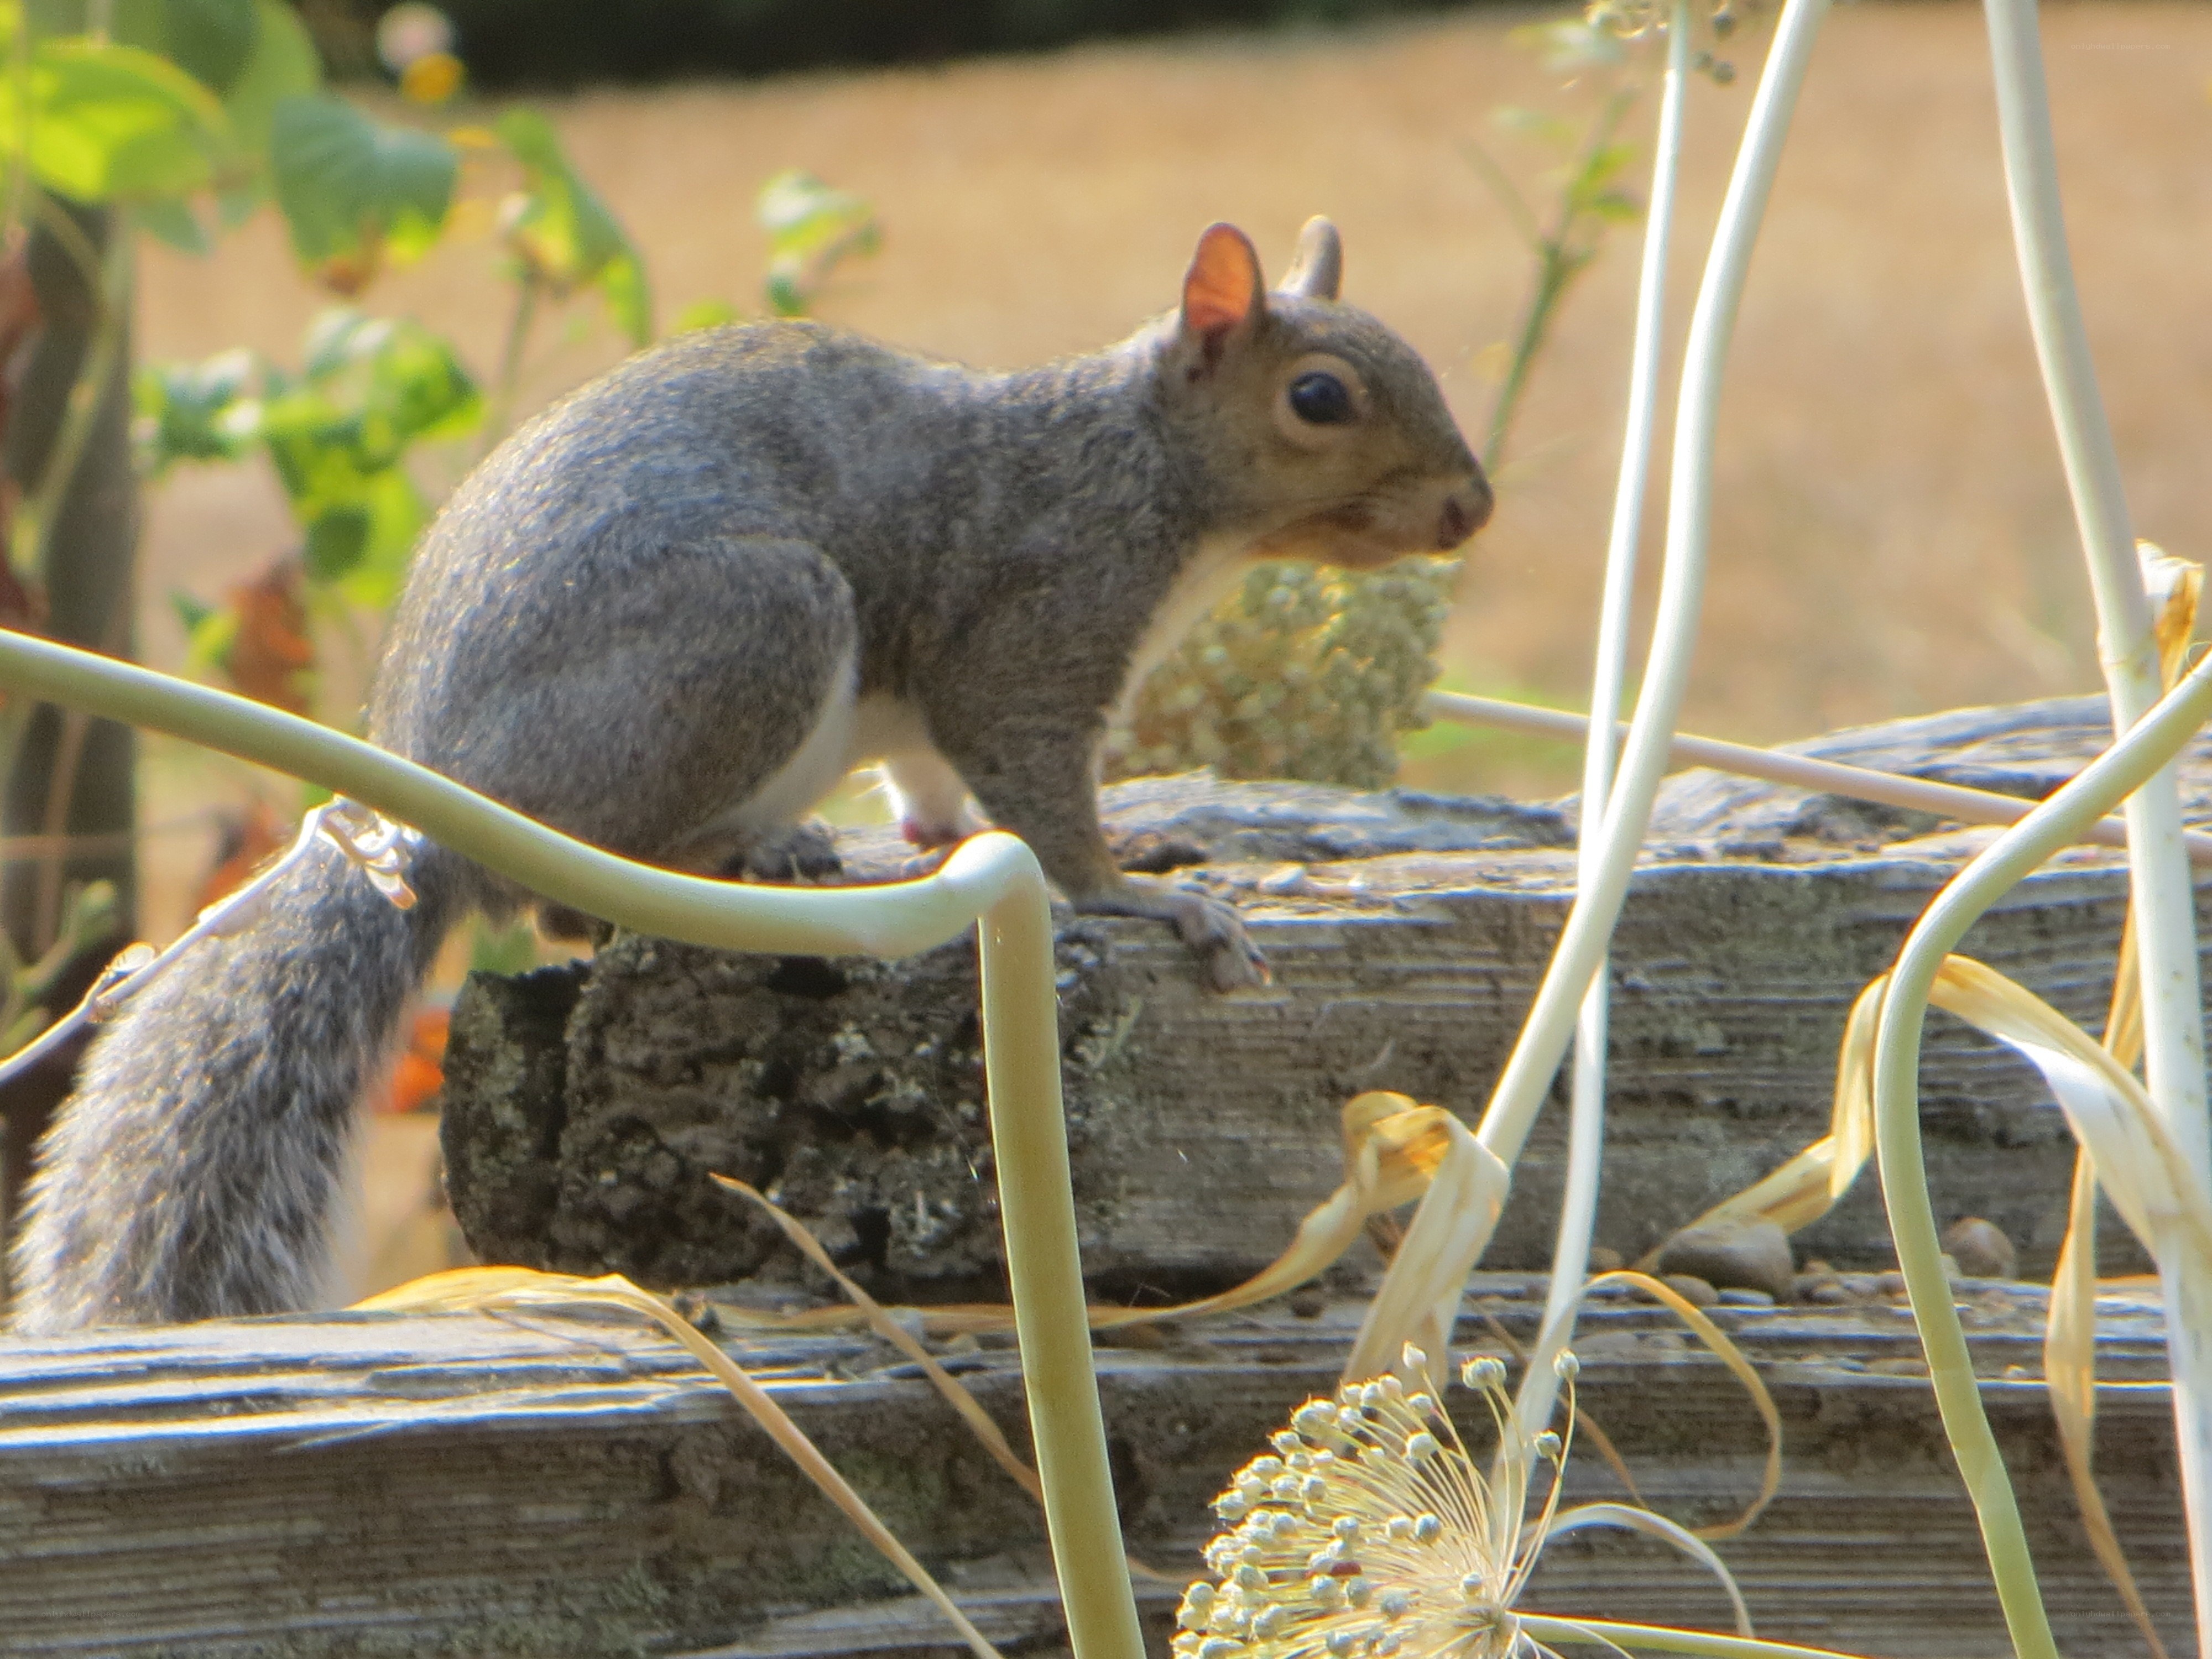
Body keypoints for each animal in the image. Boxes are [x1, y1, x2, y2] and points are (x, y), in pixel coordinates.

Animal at [8, 217, 1489, 1333]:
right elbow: (1033, 789)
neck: (1143, 469)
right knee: (570, 893)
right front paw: (1134, 892)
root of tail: (433, 816)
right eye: (1318, 399)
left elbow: (934, 790)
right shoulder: (1030, 623)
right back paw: (745, 851)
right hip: (755, 631)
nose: (1470, 507)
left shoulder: (930, 717)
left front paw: (999, 844)